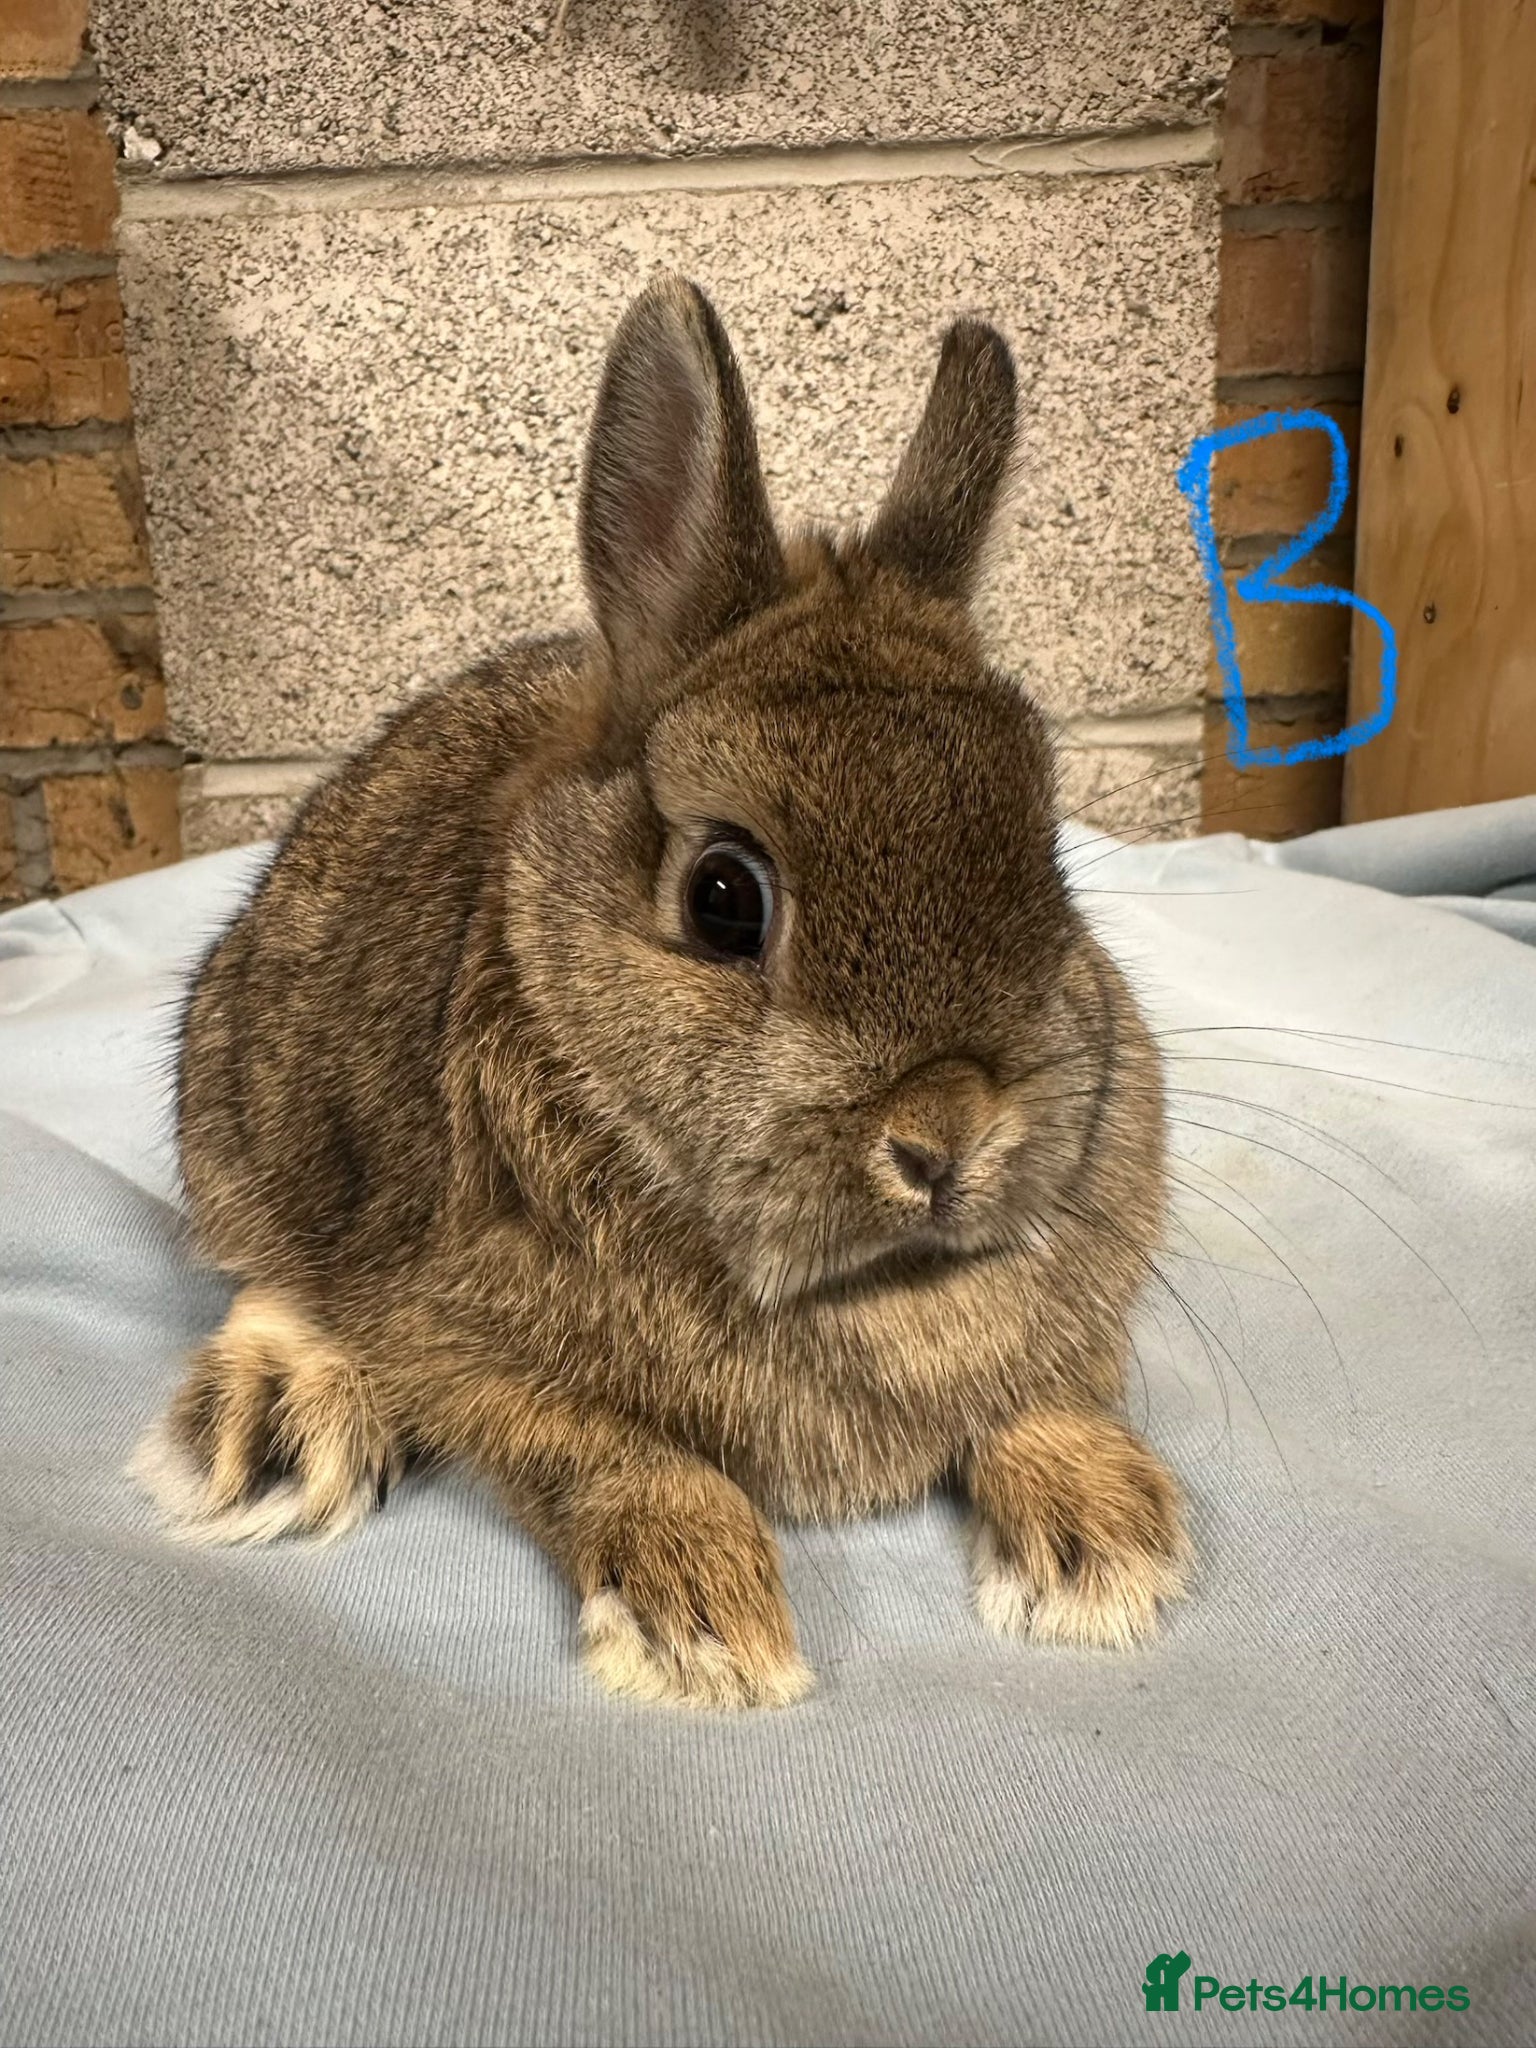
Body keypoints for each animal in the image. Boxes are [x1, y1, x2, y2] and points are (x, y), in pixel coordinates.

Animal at [134, 273, 1191, 1709]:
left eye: (1051, 857)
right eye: (725, 896)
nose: (949, 1137)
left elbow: (1051, 1402)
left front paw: (1105, 1553)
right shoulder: (462, 1344)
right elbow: (625, 1455)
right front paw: (714, 1634)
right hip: (243, 1117)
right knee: (268, 1269)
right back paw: (274, 1433)